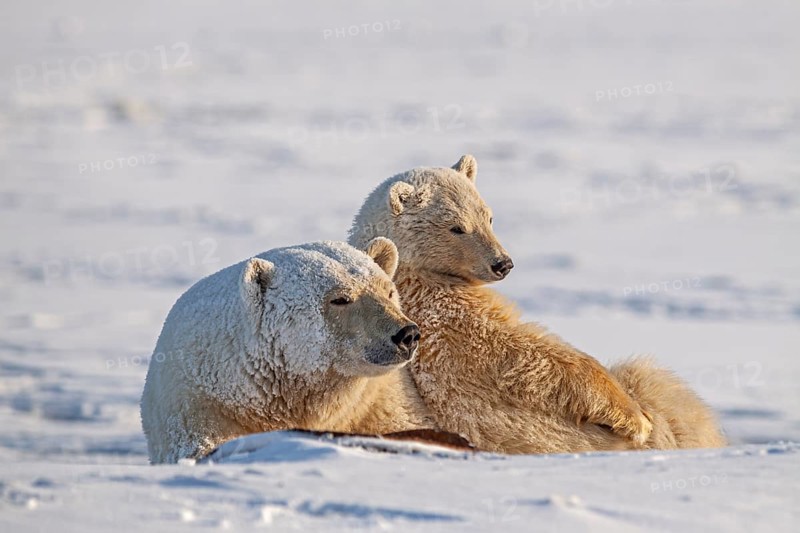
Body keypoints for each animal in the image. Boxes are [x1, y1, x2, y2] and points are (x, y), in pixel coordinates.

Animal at [348, 155, 726, 454]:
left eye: (489, 216)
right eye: (457, 227)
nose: (502, 264)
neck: (415, 272)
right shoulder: (447, 321)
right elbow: (536, 360)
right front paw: (637, 419)